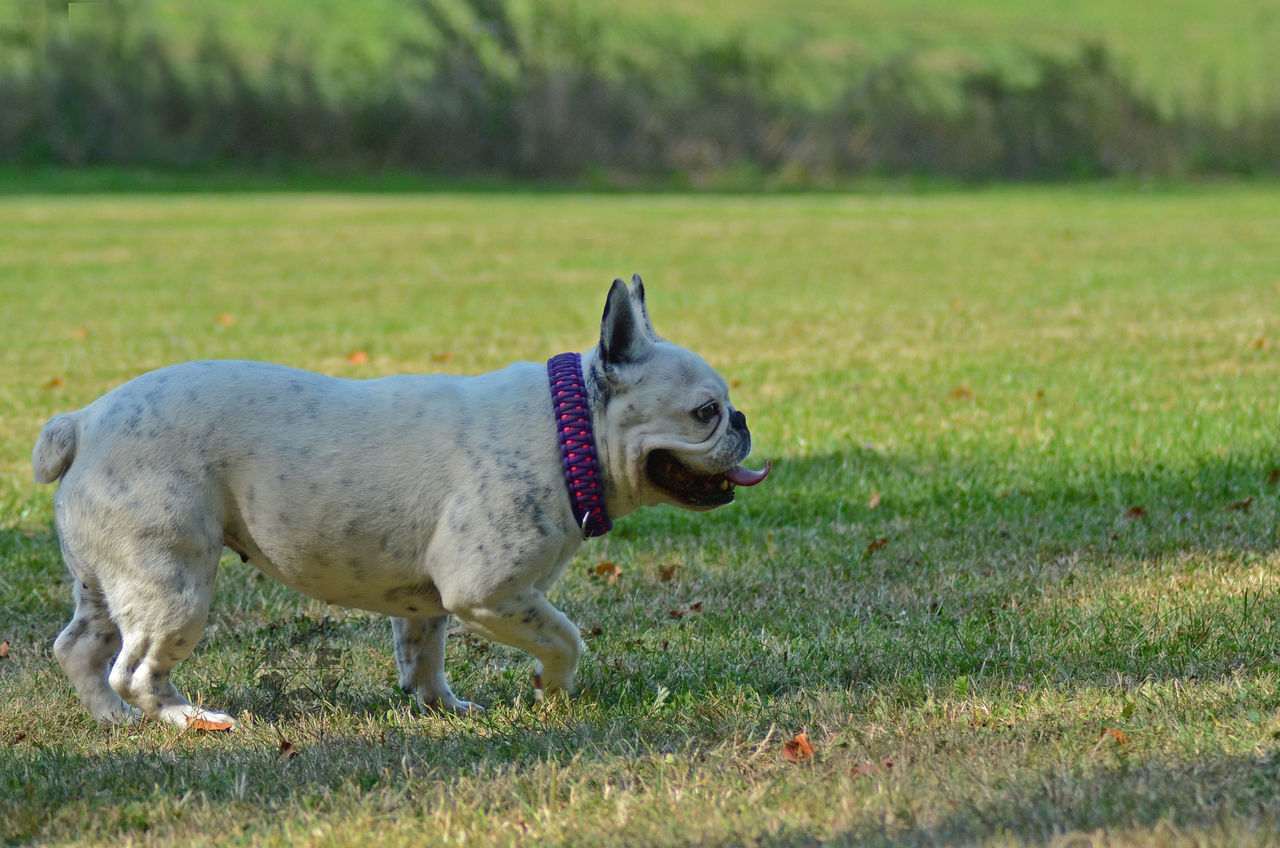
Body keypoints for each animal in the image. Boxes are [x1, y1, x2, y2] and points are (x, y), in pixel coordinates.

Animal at [32, 275, 768, 727]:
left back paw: (115, 721)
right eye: (705, 411)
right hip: (173, 583)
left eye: (725, 407)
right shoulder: (490, 592)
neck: (572, 429)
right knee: (135, 668)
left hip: (112, 579)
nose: (742, 421)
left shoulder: (432, 602)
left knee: (82, 648)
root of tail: (84, 421)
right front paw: (553, 691)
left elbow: (423, 656)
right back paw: (187, 717)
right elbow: (565, 636)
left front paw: (444, 708)